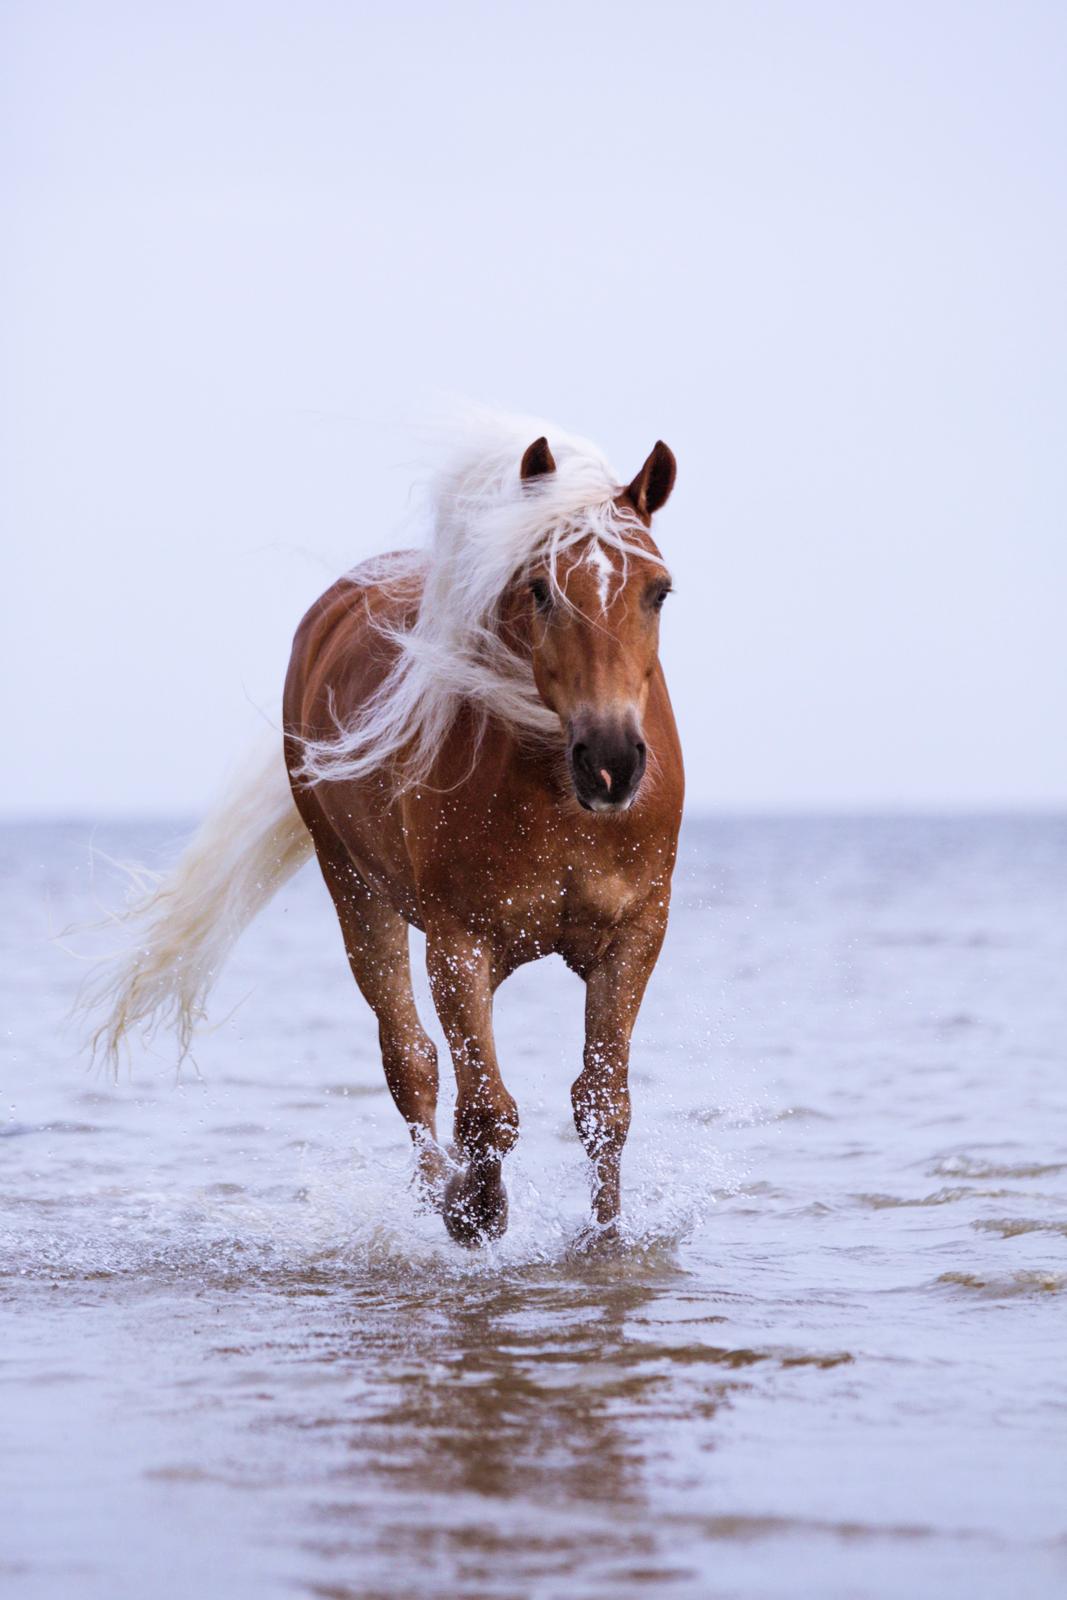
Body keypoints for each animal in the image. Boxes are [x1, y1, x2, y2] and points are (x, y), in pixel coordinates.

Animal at [87, 412, 684, 1248]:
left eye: (657, 592)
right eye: (538, 590)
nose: (609, 761)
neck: (555, 796)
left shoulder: (634, 935)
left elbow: (602, 1102)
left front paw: (602, 1240)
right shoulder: (459, 944)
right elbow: (485, 1110)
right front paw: (474, 1210)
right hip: (354, 891)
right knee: (409, 1061)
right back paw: (438, 1192)